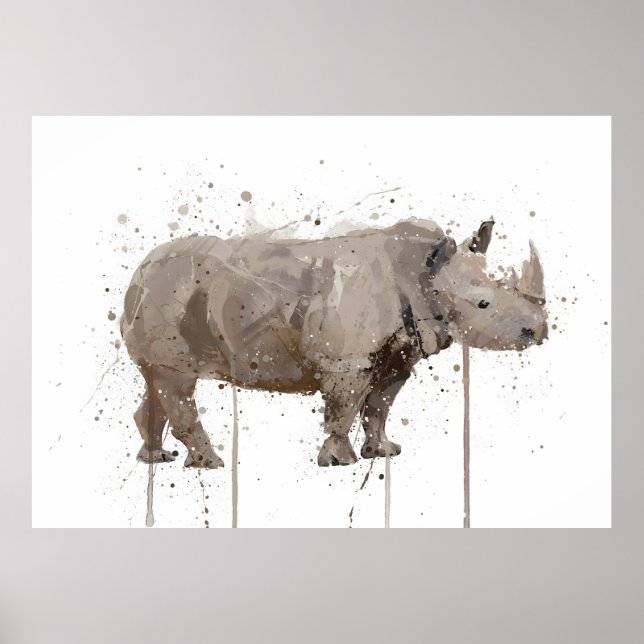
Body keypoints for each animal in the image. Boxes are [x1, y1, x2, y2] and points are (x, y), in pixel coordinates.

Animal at [121, 217, 547, 468]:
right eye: (483, 304)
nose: (538, 331)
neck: (423, 272)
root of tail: (138, 272)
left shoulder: (398, 355)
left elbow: (379, 406)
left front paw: (383, 451)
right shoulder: (348, 360)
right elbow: (345, 408)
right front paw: (341, 461)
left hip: (166, 296)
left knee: (157, 382)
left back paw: (157, 459)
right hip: (169, 295)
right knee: (177, 383)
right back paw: (210, 463)